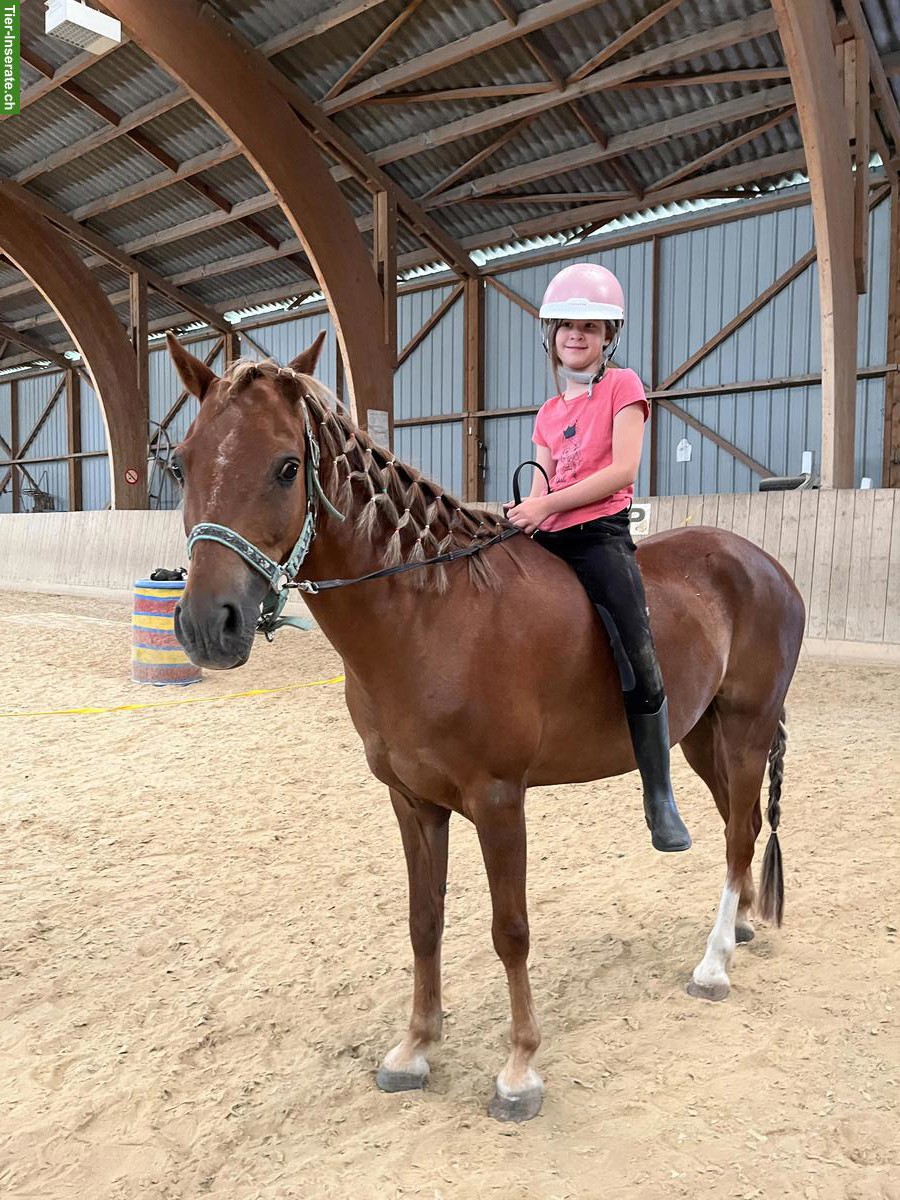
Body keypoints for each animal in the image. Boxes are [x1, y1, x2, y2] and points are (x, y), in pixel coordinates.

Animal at [166, 331, 806, 1123]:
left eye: (288, 466)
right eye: (182, 462)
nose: (207, 625)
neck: (431, 616)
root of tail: (765, 564)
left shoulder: (499, 801)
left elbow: (510, 931)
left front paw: (520, 1068)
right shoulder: (413, 802)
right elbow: (424, 921)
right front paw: (414, 1048)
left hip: (747, 730)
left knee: (742, 834)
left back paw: (714, 965)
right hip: (699, 737)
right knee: (735, 826)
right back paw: (739, 925)